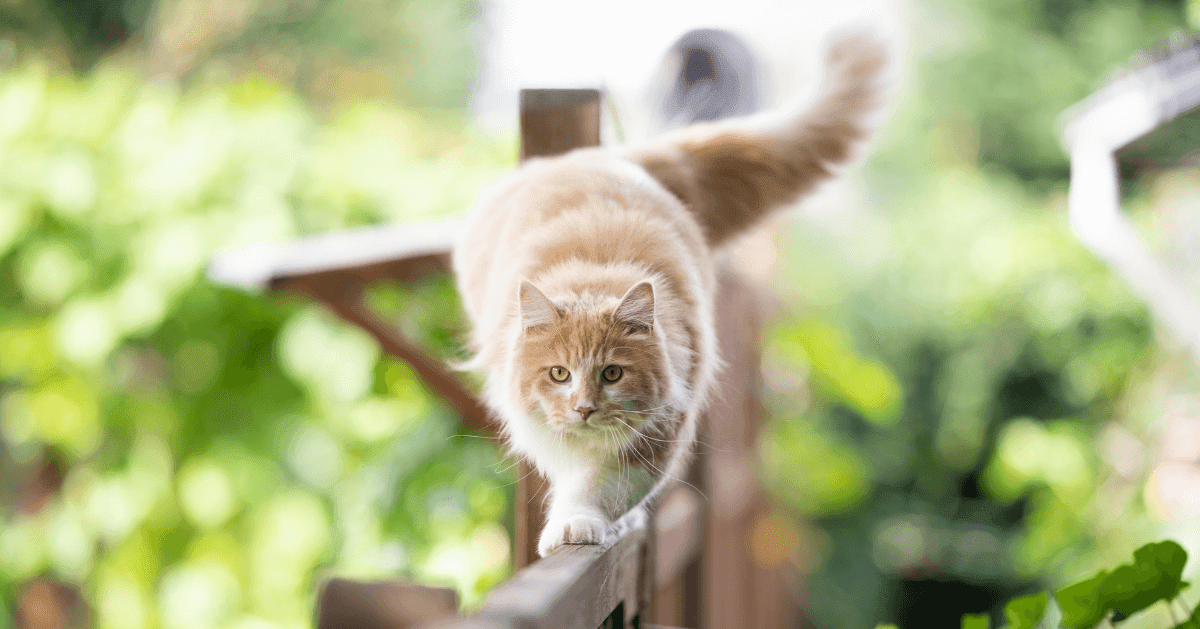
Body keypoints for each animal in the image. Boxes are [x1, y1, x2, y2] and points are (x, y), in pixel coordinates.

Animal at [453, 33, 888, 554]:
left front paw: (580, 525)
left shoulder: (658, 434)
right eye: (558, 374)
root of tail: (615, 159)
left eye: (613, 373)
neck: (595, 276)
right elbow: (575, 476)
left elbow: (600, 488)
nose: (584, 409)